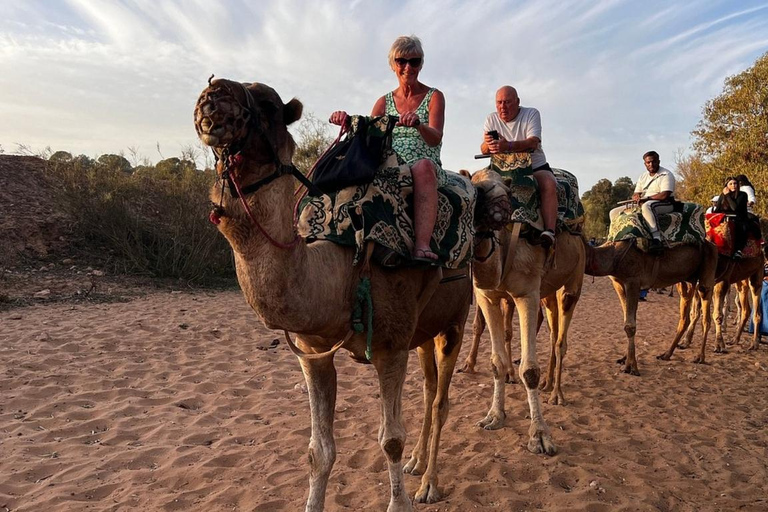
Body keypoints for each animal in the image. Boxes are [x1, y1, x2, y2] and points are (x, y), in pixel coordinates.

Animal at [192, 78, 476, 510]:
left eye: (269, 105)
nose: (213, 95)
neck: (342, 270)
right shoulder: (313, 352)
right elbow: (318, 450)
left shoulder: (391, 347)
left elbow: (390, 440)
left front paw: (400, 500)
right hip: (424, 330)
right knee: (429, 393)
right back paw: (416, 464)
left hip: (456, 320)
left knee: (441, 401)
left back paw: (429, 483)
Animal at [464, 169, 584, 452]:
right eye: (478, 189)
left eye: (508, 192)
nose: (501, 211)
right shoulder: (487, 297)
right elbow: (496, 362)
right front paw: (494, 416)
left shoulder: (526, 293)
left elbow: (529, 369)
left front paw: (539, 435)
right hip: (547, 292)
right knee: (552, 332)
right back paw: (548, 384)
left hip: (574, 280)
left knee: (561, 339)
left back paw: (557, 394)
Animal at [584, 238, 720, 374]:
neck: (613, 254)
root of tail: (712, 245)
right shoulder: (618, 283)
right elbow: (628, 320)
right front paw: (624, 358)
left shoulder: (633, 280)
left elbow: (630, 325)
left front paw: (631, 367)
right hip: (686, 281)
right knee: (684, 317)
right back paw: (666, 354)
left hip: (707, 273)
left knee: (706, 316)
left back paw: (700, 357)